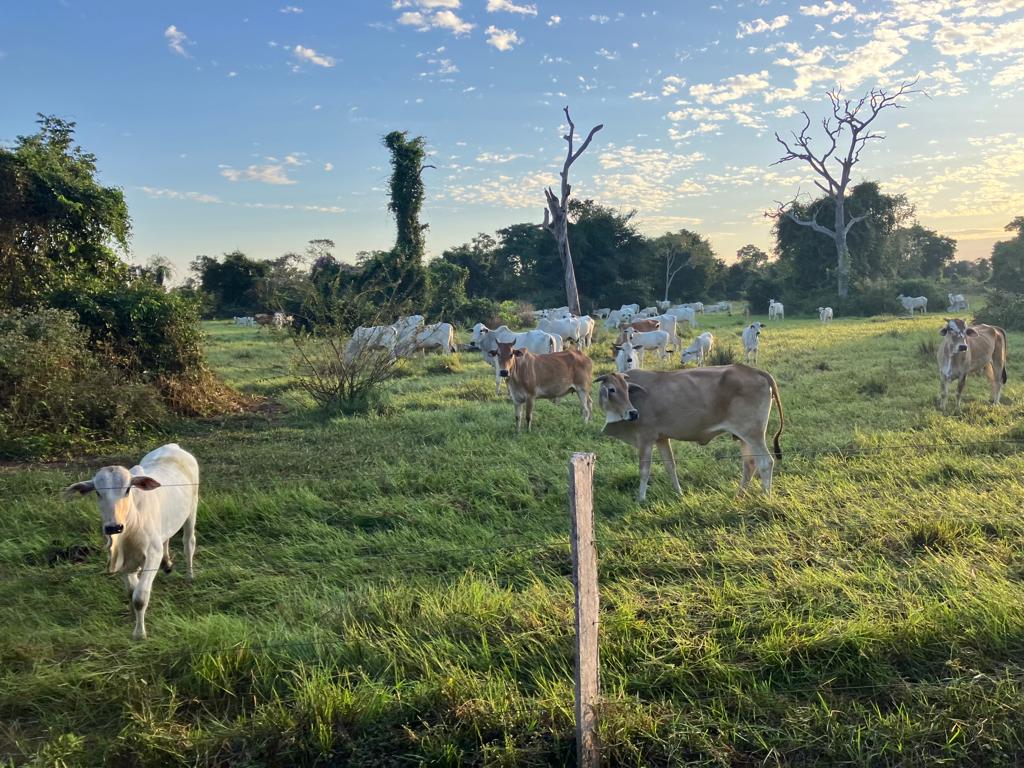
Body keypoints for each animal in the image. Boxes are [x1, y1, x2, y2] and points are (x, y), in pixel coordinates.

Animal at [64, 443, 200, 640]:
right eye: (98, 492)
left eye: (128, 489)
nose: (114, 527)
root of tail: (173, 446)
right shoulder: (124, 560)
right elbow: (131, 592)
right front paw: (131, 616)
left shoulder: (152, 554)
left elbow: (140, 597)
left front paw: (139, 633)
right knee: (166, 538)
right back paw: (167, 564)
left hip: (192, 510)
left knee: (189, 543)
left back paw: (189, 575)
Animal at [595, 366, 784, 502]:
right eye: (611, 389)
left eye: (626, 388)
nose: (633, 413)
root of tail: (755, 371)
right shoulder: (662, 438)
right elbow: (670, 466)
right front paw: (679, 493)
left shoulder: (645, 439)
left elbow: (644, 470)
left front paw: (640, 499)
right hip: (744, 437)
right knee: (750, 464)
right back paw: (738, 496)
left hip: (754, 434)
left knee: (766, 462)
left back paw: (765, 497)